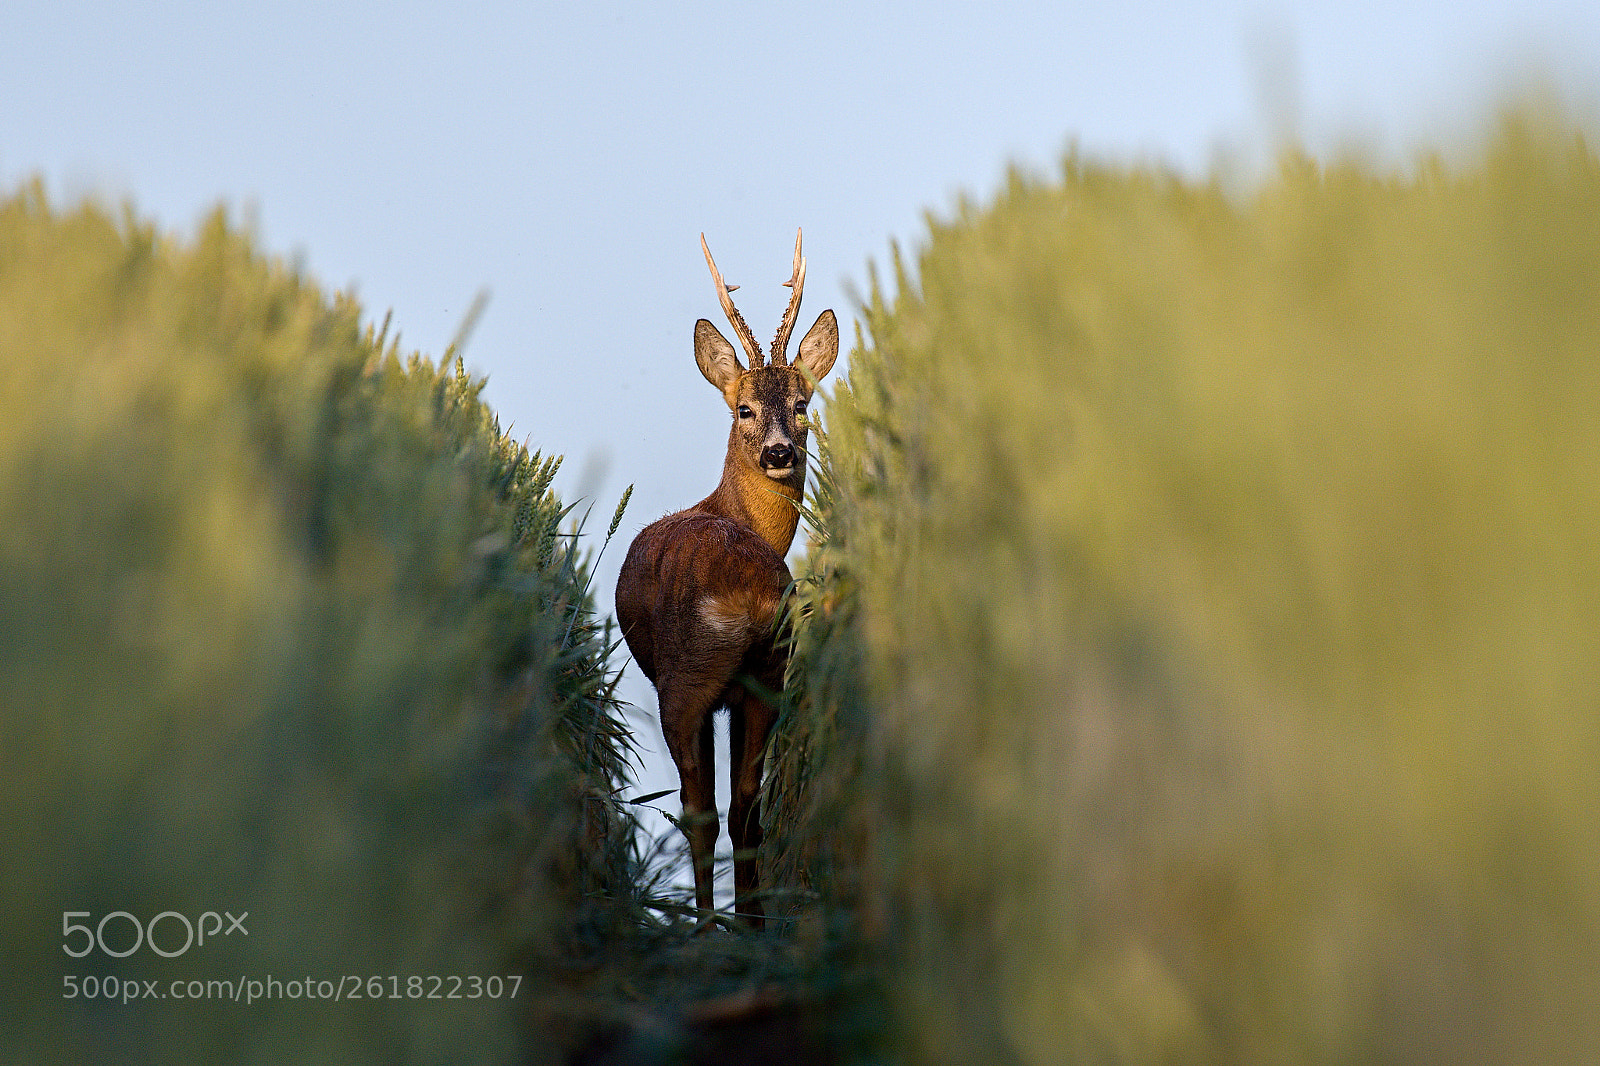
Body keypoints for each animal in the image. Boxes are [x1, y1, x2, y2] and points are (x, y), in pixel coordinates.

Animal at [615, 230, 838, 930]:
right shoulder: (752, 686)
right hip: (767, 672)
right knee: (744, 809)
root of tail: (746, 594)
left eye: (802, 404)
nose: (778, 452)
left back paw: (713, 926)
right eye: (744, 408)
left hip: (686, 678)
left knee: (703, 813)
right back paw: (750, 924)